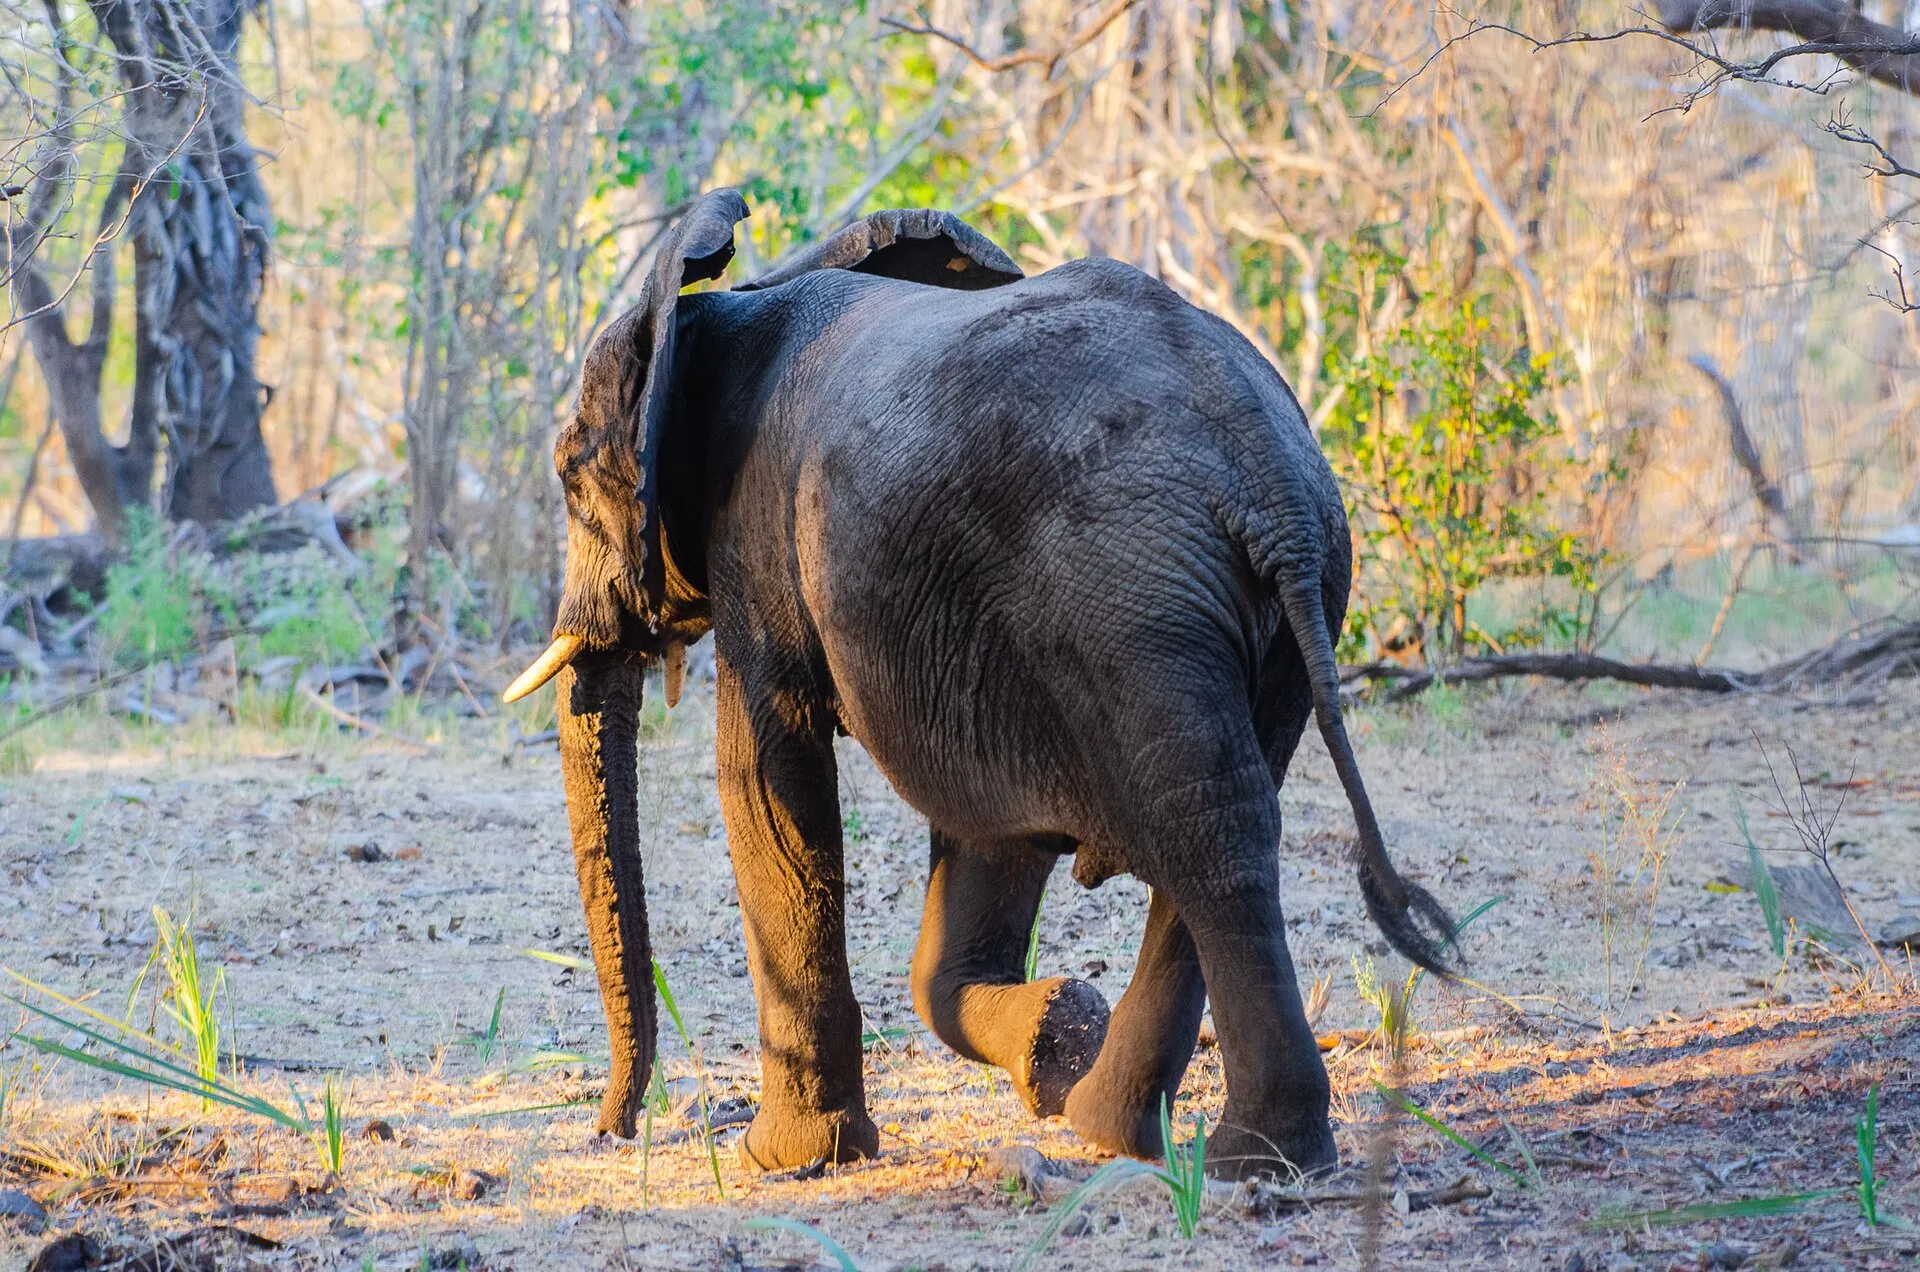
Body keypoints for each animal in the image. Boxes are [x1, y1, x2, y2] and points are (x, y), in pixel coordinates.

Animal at [502, 189, 1456, 1179]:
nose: (613, 1126)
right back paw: (1146, 1136)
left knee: (1205, 834)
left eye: (570, 472)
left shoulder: (760, 543)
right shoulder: (974, 635)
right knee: (1227, 815)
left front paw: (790, 1160)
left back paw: (1243, 1159)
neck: (718, 307)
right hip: (1243, 603)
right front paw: (1054, 1038)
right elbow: (987, 827)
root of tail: (1267, 478)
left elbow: (766, 783)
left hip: (1125, 597)